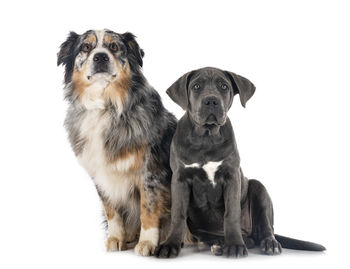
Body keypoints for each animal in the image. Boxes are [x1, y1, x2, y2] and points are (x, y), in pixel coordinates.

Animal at [155, 66, 326, 256]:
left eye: (223, 86)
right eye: (196, 86)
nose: (211, 101)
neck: (207, 138)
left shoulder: (232, 177)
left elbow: (231, 214)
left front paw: (235, 245)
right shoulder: (180, 179)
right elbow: (178, 215)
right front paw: (170, 245)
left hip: (259, 188)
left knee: (265, 228)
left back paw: (267, 243)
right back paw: (220, 244)